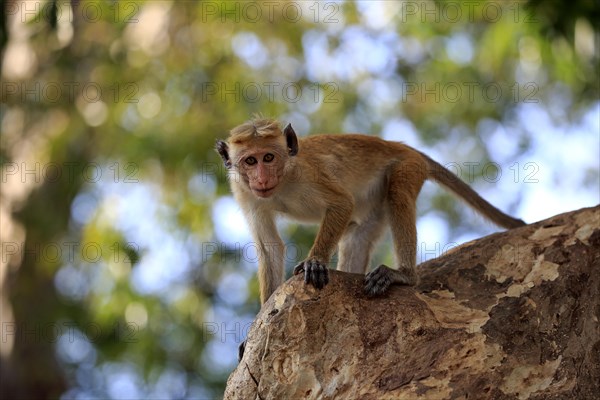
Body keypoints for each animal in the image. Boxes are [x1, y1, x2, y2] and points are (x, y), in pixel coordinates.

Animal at [216, 117, 524, 304]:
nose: (261, 179)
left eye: (268, 157)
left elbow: (341, 203)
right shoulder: (244, 193)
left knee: (398, 197)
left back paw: (404, 275)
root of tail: (400, 145)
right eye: (250, 161)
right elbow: (270, 246)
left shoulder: (308, 174)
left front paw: (315, 261)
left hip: (408, 166)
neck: (282, 182)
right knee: (358, 233)